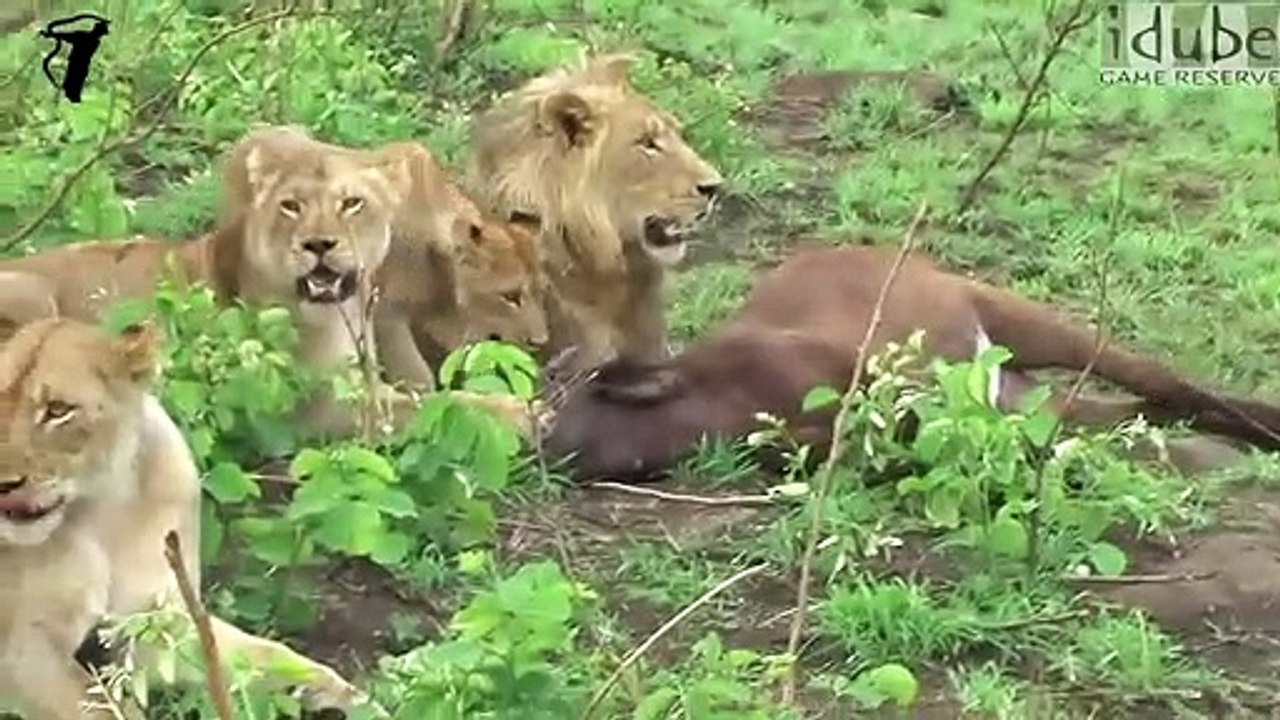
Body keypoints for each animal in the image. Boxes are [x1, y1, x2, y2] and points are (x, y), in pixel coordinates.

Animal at [0, 317, 367, 719]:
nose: (3, 483)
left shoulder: (158, 619)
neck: (104, 511)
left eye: (58, 410)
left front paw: (351, 698)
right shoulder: (19, 647)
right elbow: (101, 707)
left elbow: (264, 655)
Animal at [542, 245, 1280, 482]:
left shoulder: (874, 386)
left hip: (1017, 321)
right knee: (1124, 411)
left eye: (574, 405)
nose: (539, 451)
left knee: (1159, 382)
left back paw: (1250, 438)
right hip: (1010, 380)